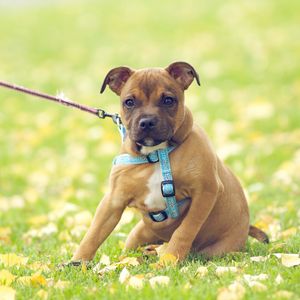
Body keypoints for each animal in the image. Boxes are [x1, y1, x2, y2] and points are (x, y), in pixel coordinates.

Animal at [71, 61, 268, 262]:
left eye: (168, 100)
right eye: (129, 102)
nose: (147, 122)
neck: (157, 153)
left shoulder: (205, 192)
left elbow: (185, 230)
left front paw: (169, 260)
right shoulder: (113, 200)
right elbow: (93, 234)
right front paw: (77, 262)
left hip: (218, 250)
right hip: (137, 235)